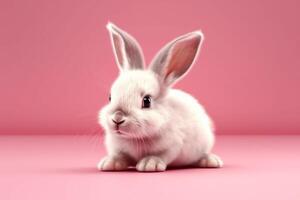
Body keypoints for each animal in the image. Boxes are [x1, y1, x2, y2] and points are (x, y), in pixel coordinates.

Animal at [97, 22, 221, 172]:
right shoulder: (119, 149)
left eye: (147, 101)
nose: (117, 118)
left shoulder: (173, 146)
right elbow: (120, 155)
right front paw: (110, 163)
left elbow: (161, 155)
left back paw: (210, 161)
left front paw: (149, 164)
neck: (135, 138)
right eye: (110, 97)